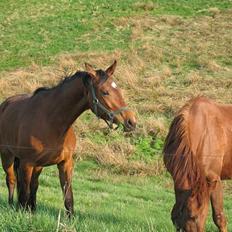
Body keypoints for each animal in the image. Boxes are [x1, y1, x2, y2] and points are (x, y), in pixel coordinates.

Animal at [0, 60, 136, 217]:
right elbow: (23, 195)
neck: (51, 121)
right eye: (105, 92)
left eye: (118, 89)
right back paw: (11, 206)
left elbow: (68, 198)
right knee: (11, 181)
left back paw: (32, 209)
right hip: (7, 157)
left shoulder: (65, 163)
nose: (131, 121)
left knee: (34, 184)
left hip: (38, 165)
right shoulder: (26, 163)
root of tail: (5, 104)